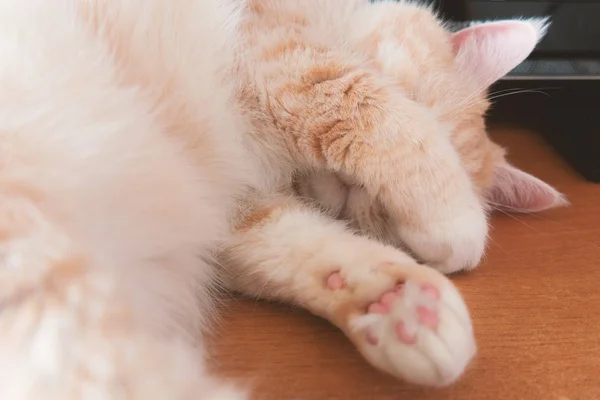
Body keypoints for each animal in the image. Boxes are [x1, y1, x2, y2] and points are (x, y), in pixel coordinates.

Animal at [0, 0, 564, 400]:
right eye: (416, 101)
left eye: (383, 218)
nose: (359, 189)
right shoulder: (280, 57)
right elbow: (364, 102)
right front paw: (457, 224)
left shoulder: (236, 213)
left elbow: (308, 248)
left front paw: (402, 307)